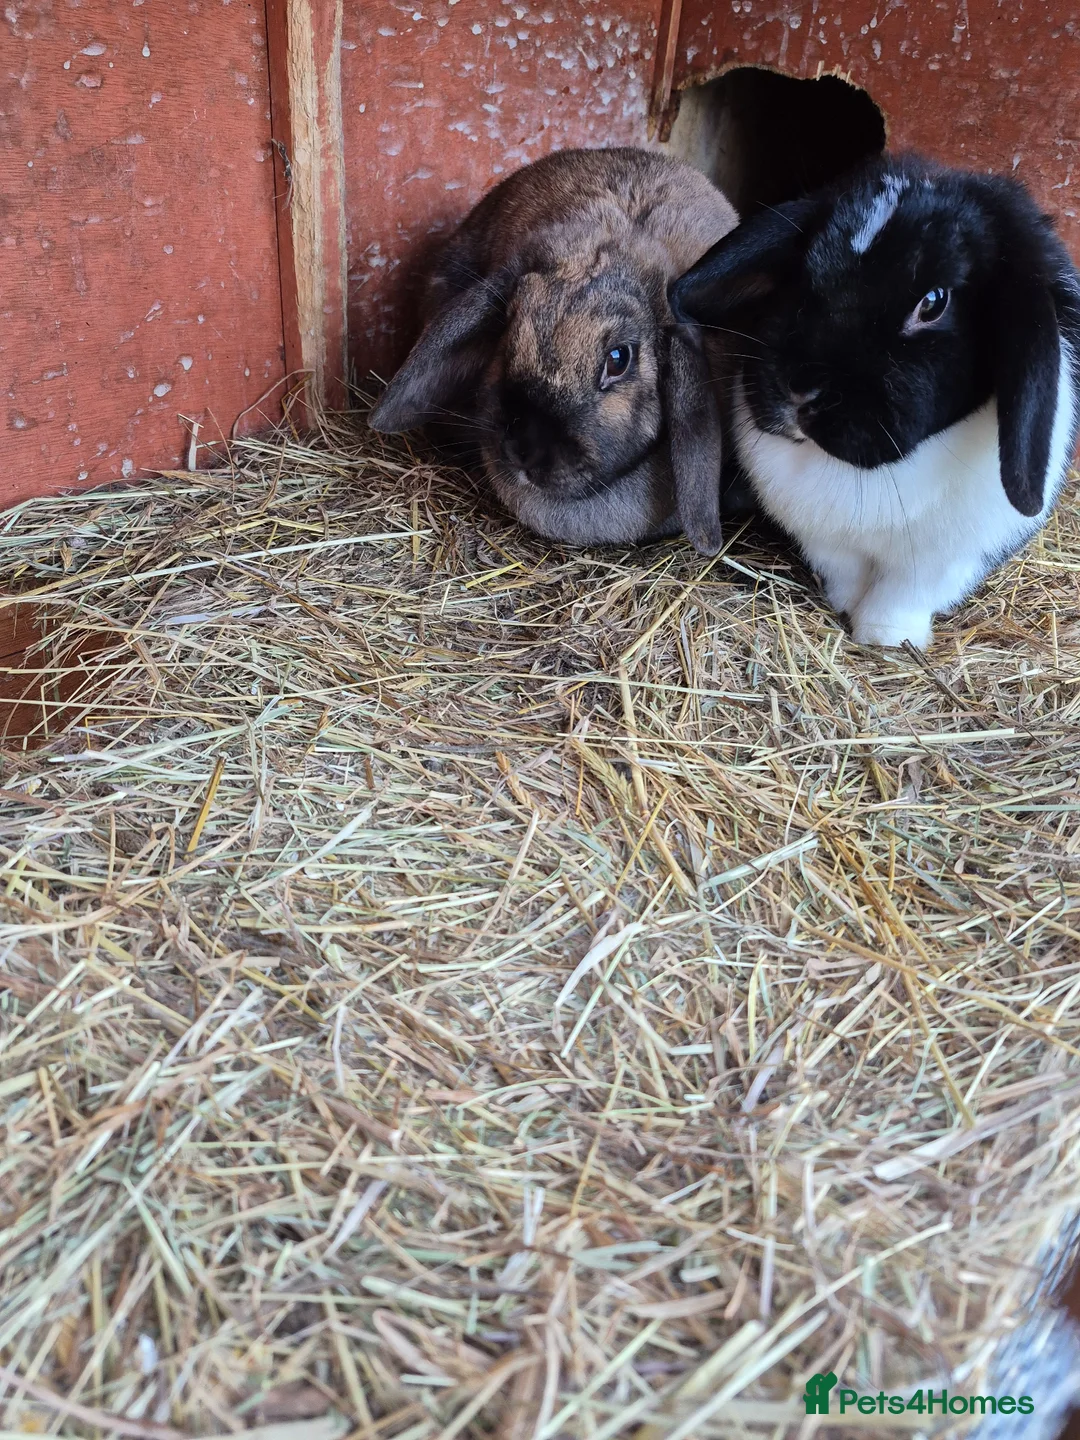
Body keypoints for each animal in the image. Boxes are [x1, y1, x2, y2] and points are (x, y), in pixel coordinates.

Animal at [669, 152, 1080, 648]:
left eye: (933, 303)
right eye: (802, 271)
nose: (798, 387)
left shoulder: (943, 561)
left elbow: (903, 596)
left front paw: (885, 638)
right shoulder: (826, 542)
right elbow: (844, 573)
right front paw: (846, 606)